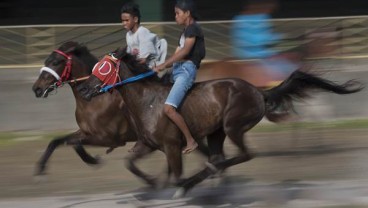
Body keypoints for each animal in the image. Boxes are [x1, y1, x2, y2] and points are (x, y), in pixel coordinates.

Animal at [77, 47, 362, 198]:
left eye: (102, 68)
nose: (84, 89)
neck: (147, 101)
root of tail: (258, 91)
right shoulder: (147, 143)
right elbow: (130, 163)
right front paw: (153, 183)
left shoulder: (171, 145)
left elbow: (177, 175)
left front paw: (176, 184)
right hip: (216, 132)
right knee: (218, 156)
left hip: (233, 126)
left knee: (243, 154)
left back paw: (210, 174)